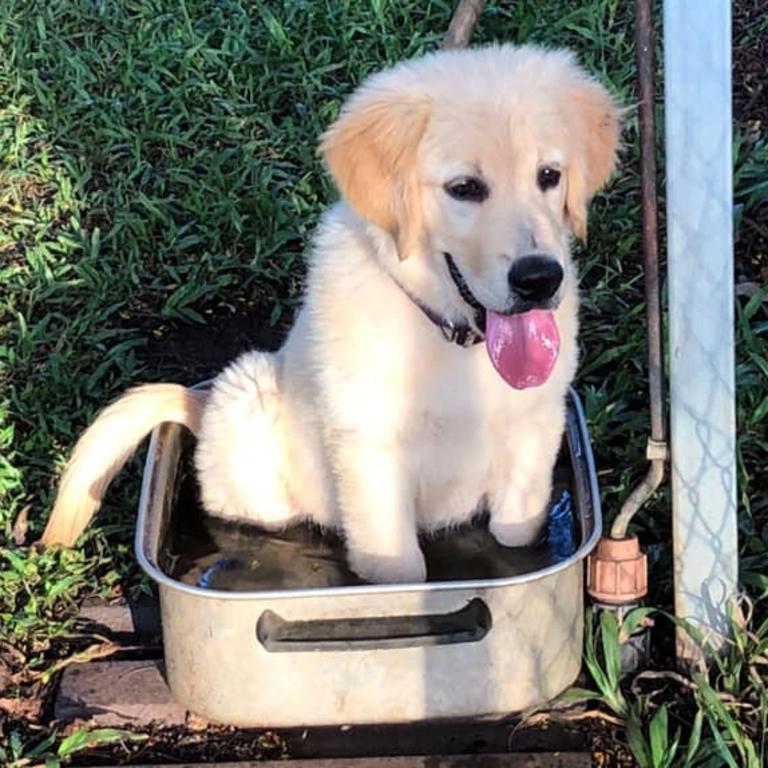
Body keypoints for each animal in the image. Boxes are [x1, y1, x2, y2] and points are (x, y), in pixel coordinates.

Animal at [42, 43, 620, 584]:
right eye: (464, 189)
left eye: (549, 175)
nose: (539, 279)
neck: (449, 337)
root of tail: (199, 405)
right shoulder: (372, 459)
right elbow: (400, 573)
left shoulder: (534, 435)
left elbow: (516, 534)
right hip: (251, 410)